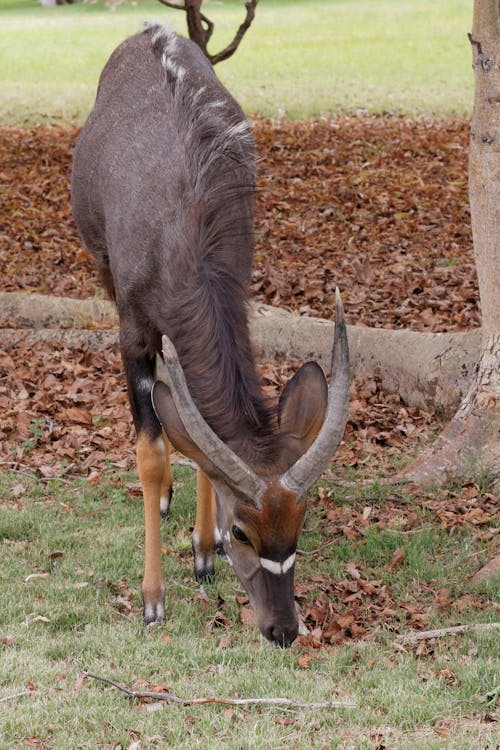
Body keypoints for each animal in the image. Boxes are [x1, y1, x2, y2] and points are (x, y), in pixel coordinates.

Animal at [72, 23, 350, 648]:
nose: (283, 629)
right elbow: (152, 450)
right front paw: (152, 600)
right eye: (244, 531)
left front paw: (202, 551)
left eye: (300, 522)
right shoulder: (133, 326)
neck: (184, 224)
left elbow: (196, 434)